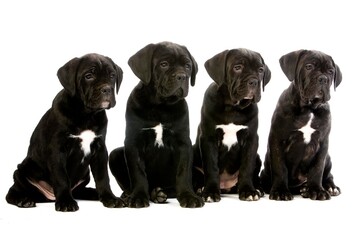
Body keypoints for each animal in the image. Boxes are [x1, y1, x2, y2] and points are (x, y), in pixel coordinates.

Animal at [4, 53, 124, 211]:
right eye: (89, 76)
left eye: (112, 75)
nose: (107, 89)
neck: (86, 114)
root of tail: (48, 197)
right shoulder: (57, 151)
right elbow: (61, 178)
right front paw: (66, 202)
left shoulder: (100, 149)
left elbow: (103, 176)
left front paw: (109, 198)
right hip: (22, 170)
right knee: (12, 191)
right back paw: (23, 200)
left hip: (85, 175)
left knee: (79, 190)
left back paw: (93, 193)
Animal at [109, 41, 204, 208]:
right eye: (164, 64)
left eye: (187, 66)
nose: (182, 76)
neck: (160, 106)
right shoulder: (134, 142)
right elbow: (138, 172)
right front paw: (138, 197)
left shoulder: (184, 143)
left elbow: (183, 171)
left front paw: (188, 196)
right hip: (114, 154)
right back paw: (137, 194)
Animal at [193, 47, 272, 202]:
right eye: (237, 67)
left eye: (260, 70)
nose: (254, 81)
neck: (232, 107)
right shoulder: (209, 138)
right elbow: (211, 166)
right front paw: (210, 192)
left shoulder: (251, 139)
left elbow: (246, 167)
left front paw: (248, 191)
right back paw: (201, 188)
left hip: (258, 157)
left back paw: (258, 189)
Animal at [260, 49, 342, 201]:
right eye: (309, 67)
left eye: (330, 71)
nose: (323, 78)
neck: (309, 108)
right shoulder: (277, 140)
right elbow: (280, 167)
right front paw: (280, 191)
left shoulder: (322, 144)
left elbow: (318, 168)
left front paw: (316, 190)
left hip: (328, 158)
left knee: (328, 175)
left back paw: (328, 187)